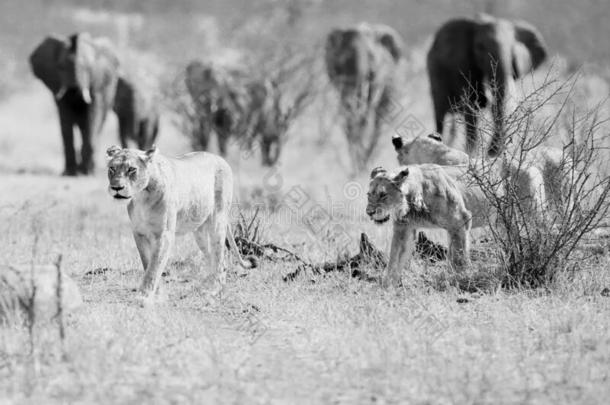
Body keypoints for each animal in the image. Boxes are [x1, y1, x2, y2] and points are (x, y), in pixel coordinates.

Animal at [29, 33, 120, 175]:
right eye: (60, 67)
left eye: (88, 68)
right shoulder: (58, 86)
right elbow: (65, 119)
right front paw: (69, 173)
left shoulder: (96, 83)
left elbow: (92, 116)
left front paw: (86, 172)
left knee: (96, 125)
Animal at [107, 145, 254, 304]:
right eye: (112, 168)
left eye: (131, 169)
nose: (116, 187)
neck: (141, 196)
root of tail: (220, 158)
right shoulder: (139, 233)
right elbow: (147, 263)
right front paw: (158, 294)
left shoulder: (164, 235)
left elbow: (154, 266)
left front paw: (144, 296)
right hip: (200, 233)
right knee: (212, 257)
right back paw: (206, 285)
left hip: (218, 220)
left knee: (221, 257)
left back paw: (214, 291)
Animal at [422, 14, 548, 156]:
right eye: (480, 47)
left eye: (513, 49)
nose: (491, 153)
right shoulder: (462, 64)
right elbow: (471, 105)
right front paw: (472, 153)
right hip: (434, 73)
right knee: (440, 113)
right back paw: (438, 139)